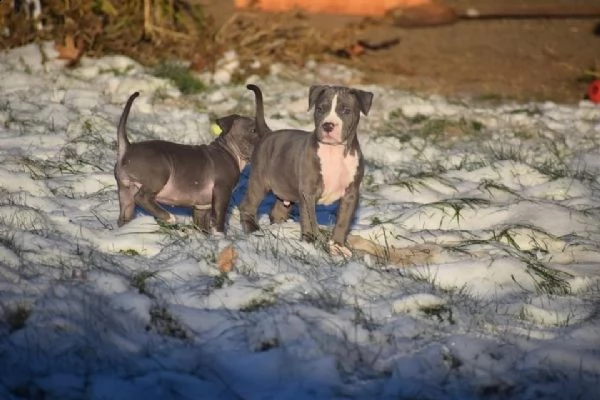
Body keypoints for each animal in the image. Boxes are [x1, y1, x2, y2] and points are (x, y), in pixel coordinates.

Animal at [113, 90, 264, 234]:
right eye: (253, 130)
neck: (230, 151)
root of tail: (127, 148)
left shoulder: (202, 207)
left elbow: (203, 227)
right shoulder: (222, 191)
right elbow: (220, 218)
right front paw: (220, 236)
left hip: (125, 191)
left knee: (124, 214)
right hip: (159, 175)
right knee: (142, 197)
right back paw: (169, 218)